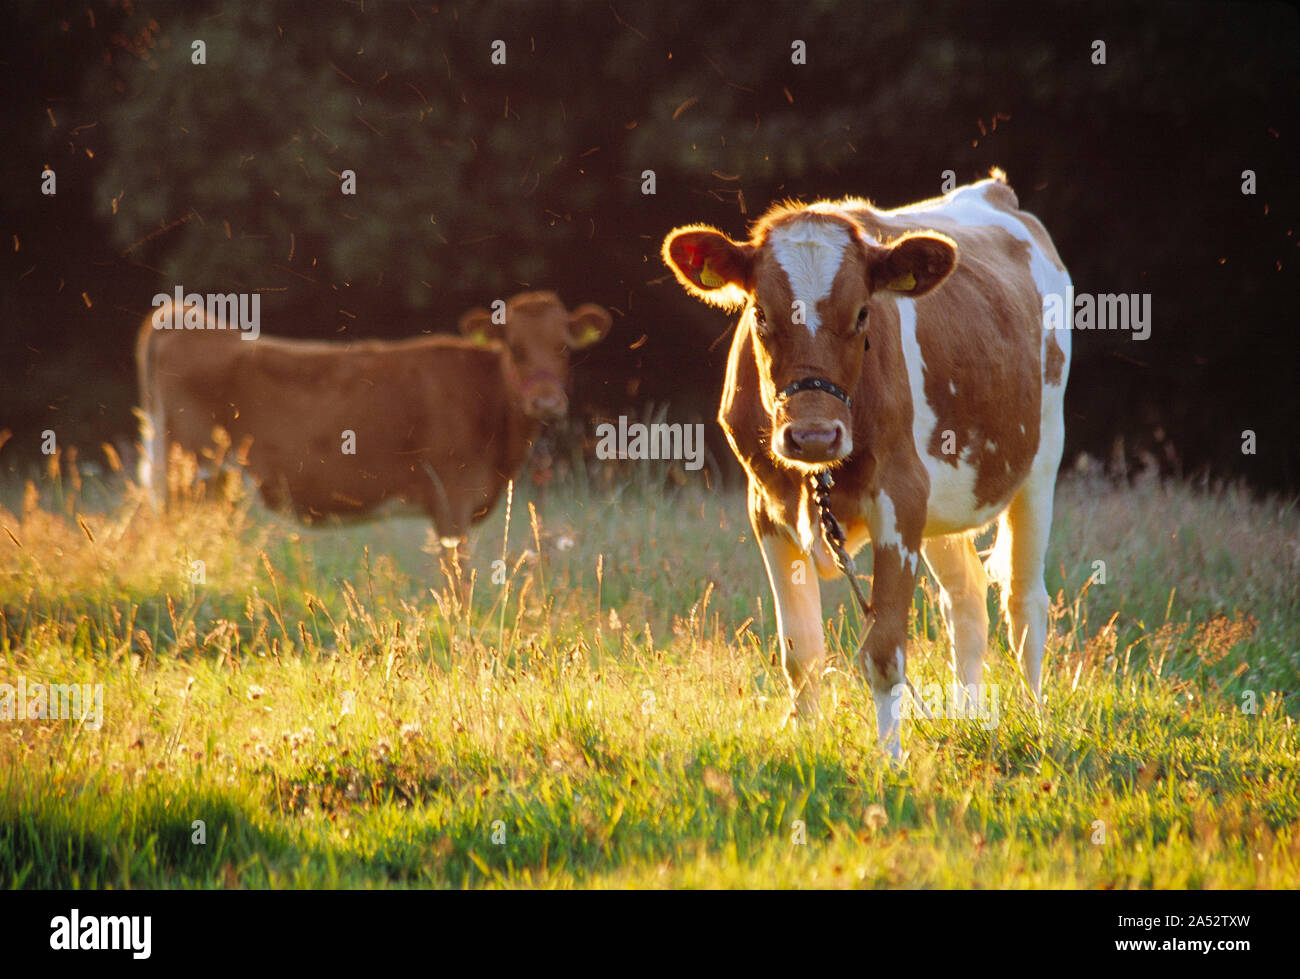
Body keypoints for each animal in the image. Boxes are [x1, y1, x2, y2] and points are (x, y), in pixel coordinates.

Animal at [134, 289, 611, 546]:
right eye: (515, 347)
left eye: (563, 346)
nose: (546, 402)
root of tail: (181, 314)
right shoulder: (453, 500)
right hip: (189, 471)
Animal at [665, 174, 1071, 754]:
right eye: (760, 314)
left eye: (862, 313)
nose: (813, 435)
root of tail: (993, 191)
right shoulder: (766, 506)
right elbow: (801, 652)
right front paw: (806, 745)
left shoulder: (900, 500)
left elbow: (884, 653)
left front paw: (890, 759)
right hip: (944, 497)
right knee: (966, 600)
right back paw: (970, 717)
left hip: (1041, 460)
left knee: (1024, 603)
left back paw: (1035, 719)